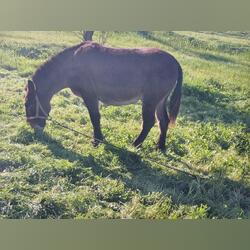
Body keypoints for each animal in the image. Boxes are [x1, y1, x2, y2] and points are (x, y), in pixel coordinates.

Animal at [24, 41, 183, 150]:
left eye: (29, 105)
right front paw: (99, 139)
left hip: (151, 99)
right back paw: (160, 147)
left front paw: (97, 141)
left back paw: (134, 145)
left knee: (149, 121)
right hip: (160, 100)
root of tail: (174, 61)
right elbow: (96, 117)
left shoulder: (90, 95)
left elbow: (95, 117)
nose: (34, 128)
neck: (72, 63)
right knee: (163, 120)